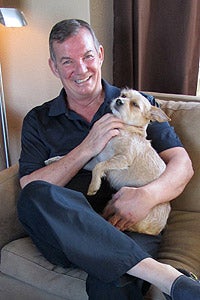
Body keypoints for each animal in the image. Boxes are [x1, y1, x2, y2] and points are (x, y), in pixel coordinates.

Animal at [85, 88, 171, 236]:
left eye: (135, 105)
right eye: (123, 95)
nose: (119, 100)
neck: (124, 129)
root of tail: (158, 230)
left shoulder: (123, 159)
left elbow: (99, 167)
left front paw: (93, 186)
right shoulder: (97, 159)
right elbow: (88, 165)